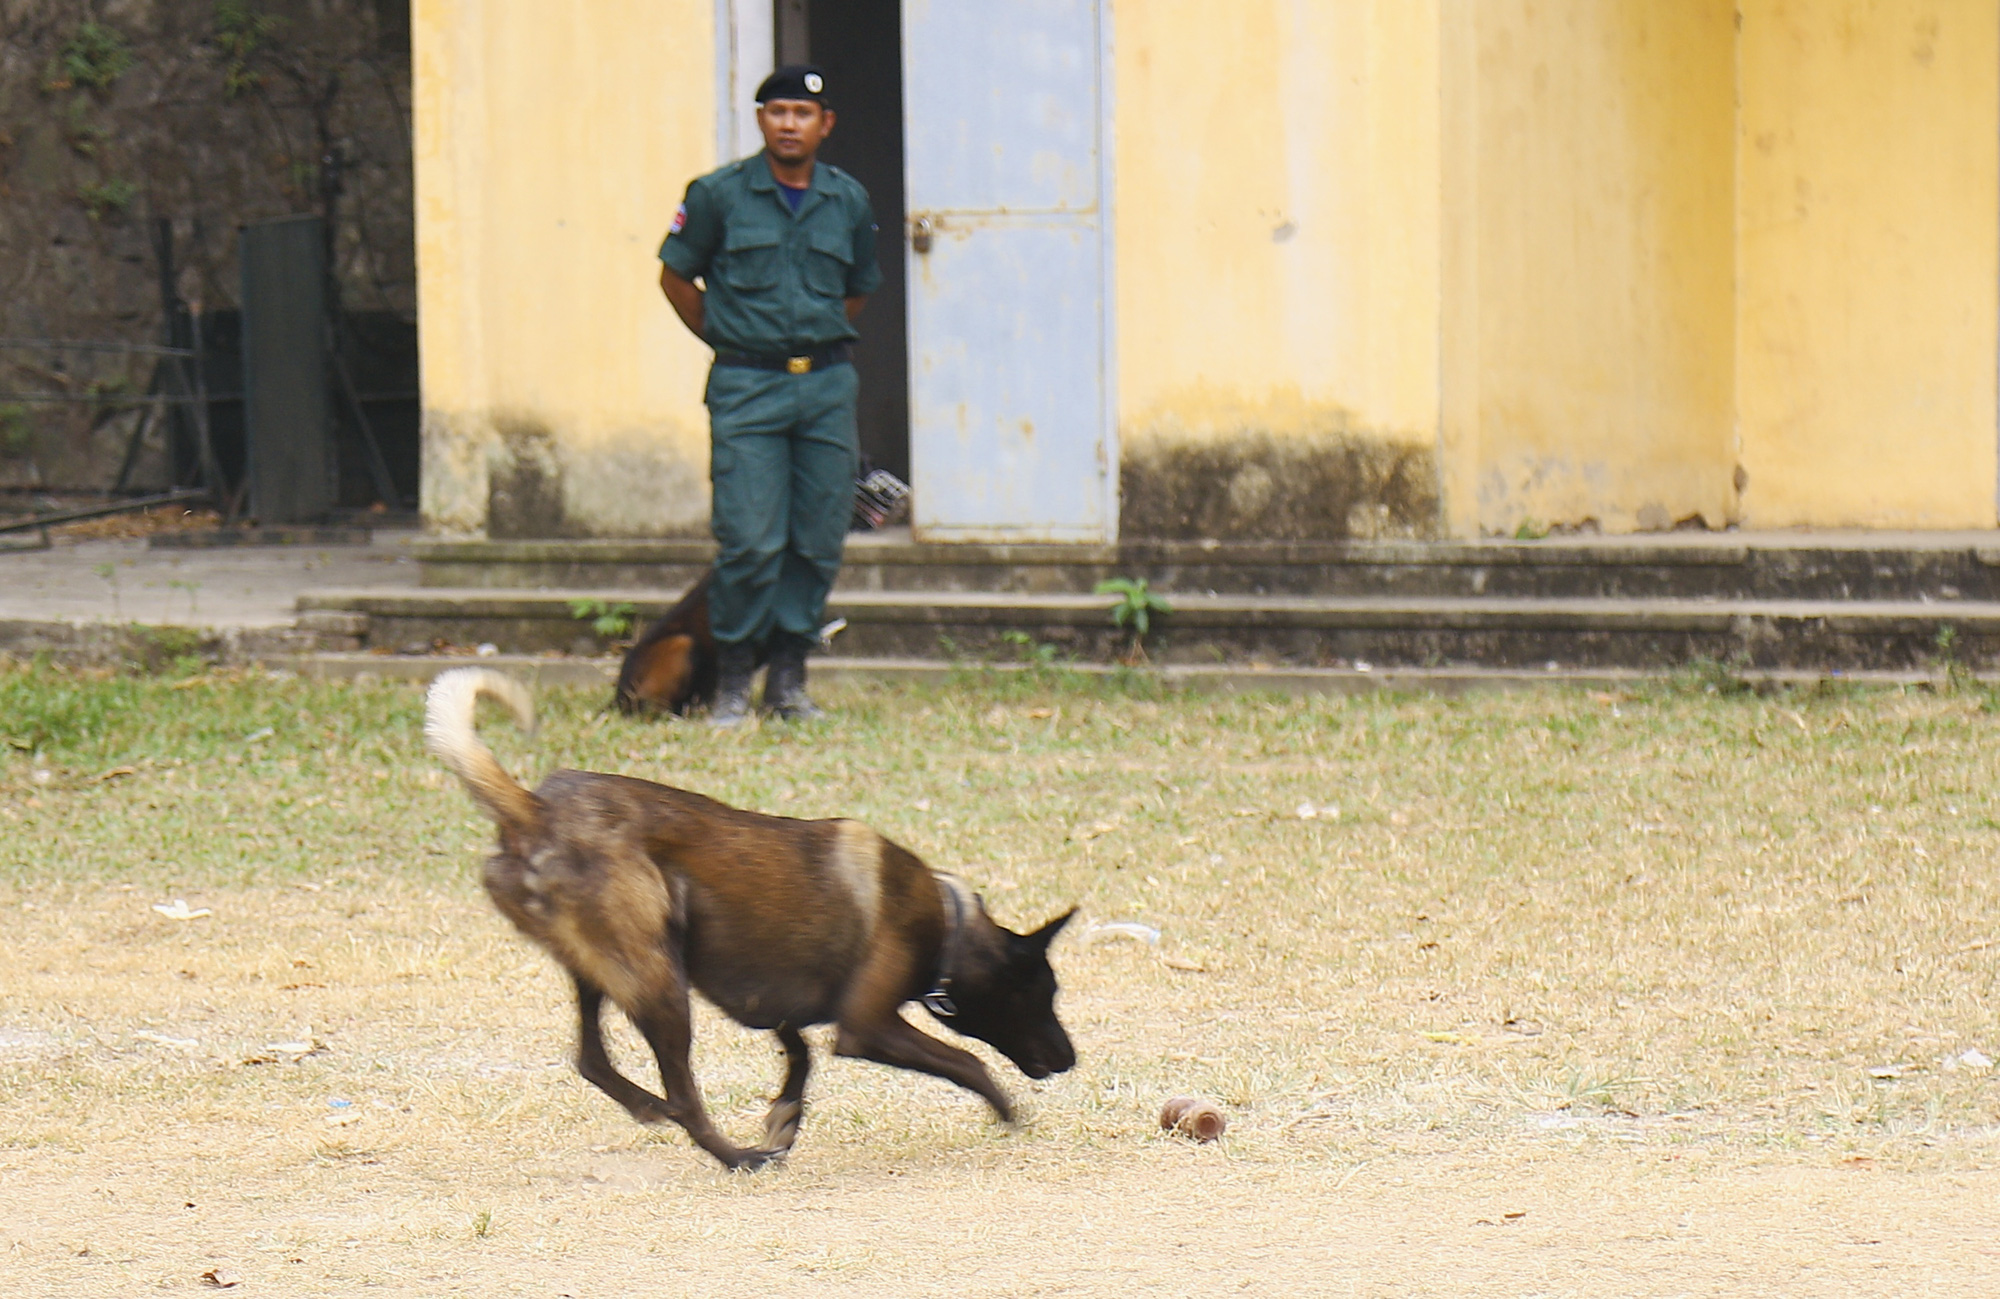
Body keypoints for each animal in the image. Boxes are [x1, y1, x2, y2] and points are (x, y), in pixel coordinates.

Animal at [426, 667, 1080, 1167]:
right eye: (1040, 994)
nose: (1070, 1059)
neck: (948, 923)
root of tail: (533, 809)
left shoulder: (776, 1004)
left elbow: (801, 1056)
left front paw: (785, 1114)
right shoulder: (867, 1025)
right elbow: (967, 1060)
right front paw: (1005, 1110)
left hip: (605, 968)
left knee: (592, 1058)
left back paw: (649, 1108)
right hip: (660, 984)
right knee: (684, 1095)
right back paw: (735, 1155)